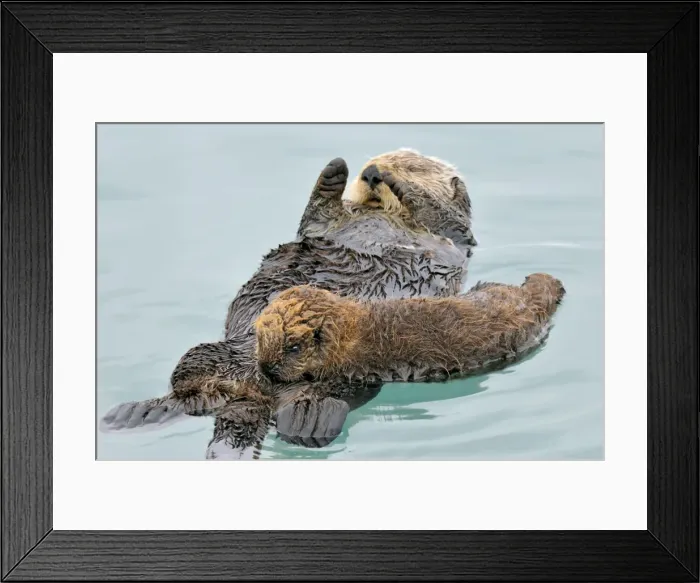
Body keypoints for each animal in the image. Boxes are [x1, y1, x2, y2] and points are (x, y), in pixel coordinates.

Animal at [100, 150, 477, 458]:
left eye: (414, 166)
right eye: (368, 164)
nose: (371, 172)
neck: (381, 212)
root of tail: (254, 391)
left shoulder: (455, 232)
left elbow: (441, 212)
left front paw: (398, 184)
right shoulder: (328, 220)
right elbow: (318, 213)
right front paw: (334, 173)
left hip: (346, 375)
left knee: (326, 398)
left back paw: (308, 423)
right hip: (206, 356)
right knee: (188, 393)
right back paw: (134, 413)